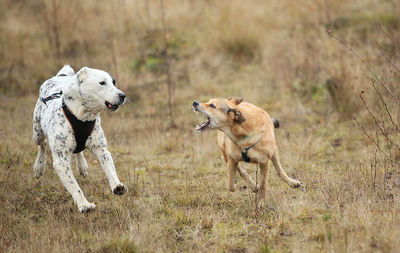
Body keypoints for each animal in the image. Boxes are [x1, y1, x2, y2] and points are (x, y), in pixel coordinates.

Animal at [34, 64, 128, 212]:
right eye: (102, 83)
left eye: (114, 82)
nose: (122, 95)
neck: (82, 117)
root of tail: (60, 76)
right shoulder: (61, 160)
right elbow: (74, 185)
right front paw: (84, 204)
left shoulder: (101, 149)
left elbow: (110, 169)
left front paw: (117, 185)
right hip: (37, 131)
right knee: (41, 145)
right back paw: (39, 166)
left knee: (79, 150)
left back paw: (82, 166)